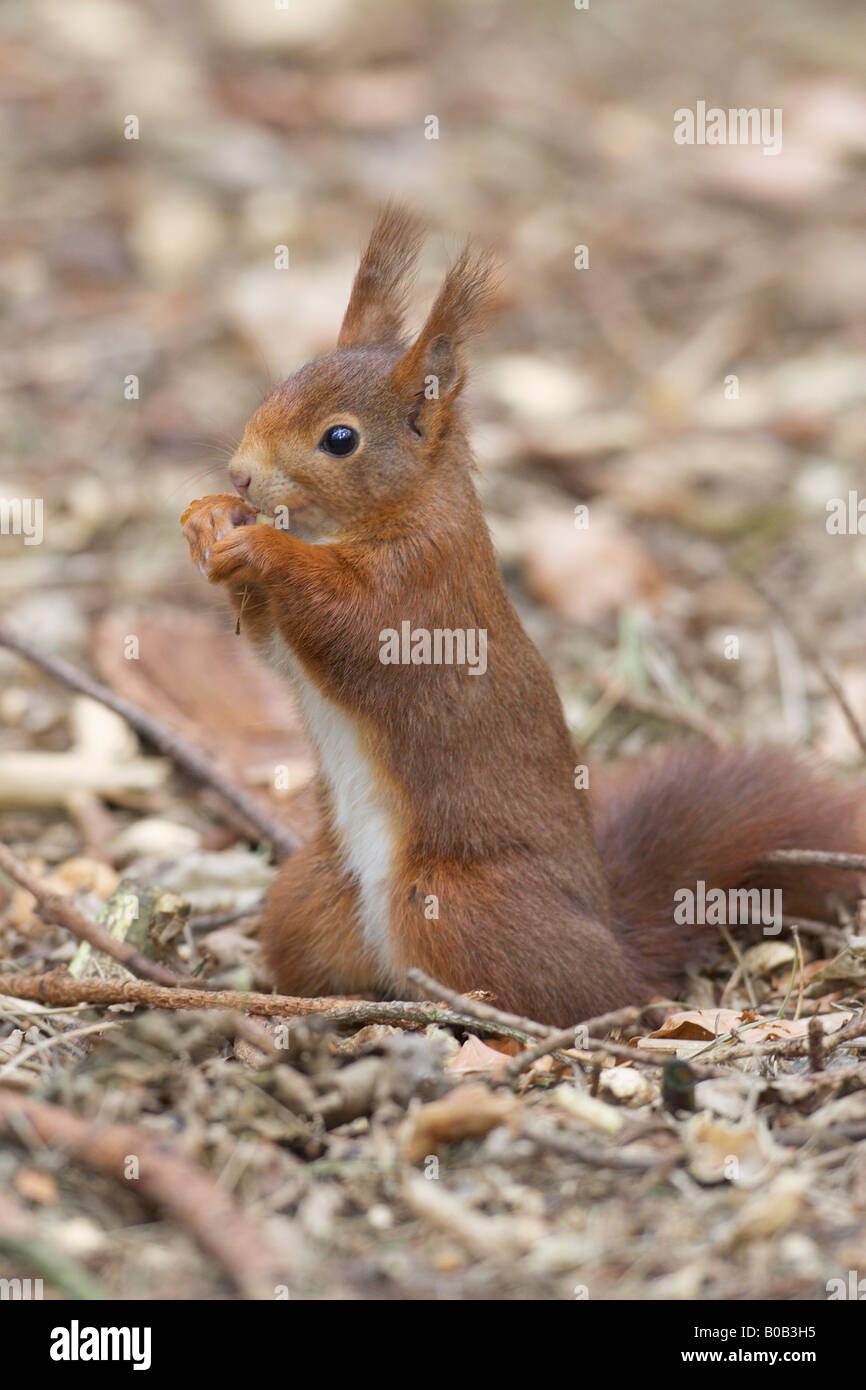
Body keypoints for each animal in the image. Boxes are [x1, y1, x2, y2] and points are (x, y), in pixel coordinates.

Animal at [181, 205, 865, 1026]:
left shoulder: (421, 590)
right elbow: (269, 646)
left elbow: (350, 622)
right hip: (310, 893)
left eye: (339, 439)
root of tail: (615, 944)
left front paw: (265, 547)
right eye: (284, 381)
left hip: (455, 904)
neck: (393, 512)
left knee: (563, 1000)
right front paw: (209, 520)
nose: (240, 475)